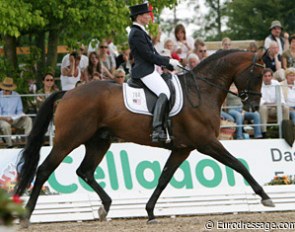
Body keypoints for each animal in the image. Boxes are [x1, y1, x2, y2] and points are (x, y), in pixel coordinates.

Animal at [14, 49, 276, 226]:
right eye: (258, 75)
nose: (253, 105)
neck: (201, 91)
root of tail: (68, 93)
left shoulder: (182, 148)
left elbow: (163, 179)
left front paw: (150, 212)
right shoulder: (207, 143)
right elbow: (238, 165)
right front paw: (265, 198)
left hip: (99, 141)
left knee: (85, 171)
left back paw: (105, 207)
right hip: (68, 140)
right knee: (44, 170)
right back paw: (26, 216)